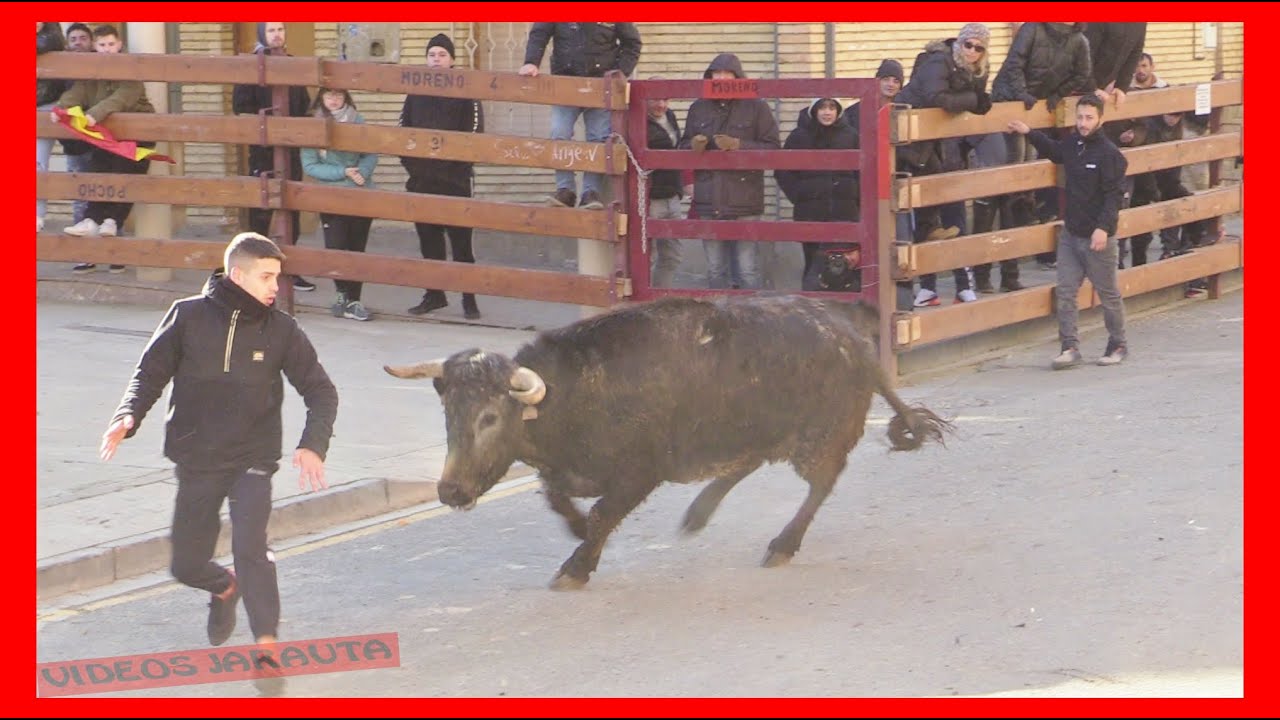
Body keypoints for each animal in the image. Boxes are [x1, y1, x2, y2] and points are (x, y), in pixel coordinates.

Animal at [384, 294, 951, 590]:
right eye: (448, 413)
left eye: (488, 416)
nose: (450, 492)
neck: (572, 394)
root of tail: (851, 337)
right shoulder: (567, 470)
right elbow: (558, 498)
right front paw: (574, 534)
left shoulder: (639, 474)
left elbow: (601, 515)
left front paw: (576, 566)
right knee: (745, 465)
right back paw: (699, 512)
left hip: (819, 438)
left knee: (821, 484)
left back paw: (782, 545)